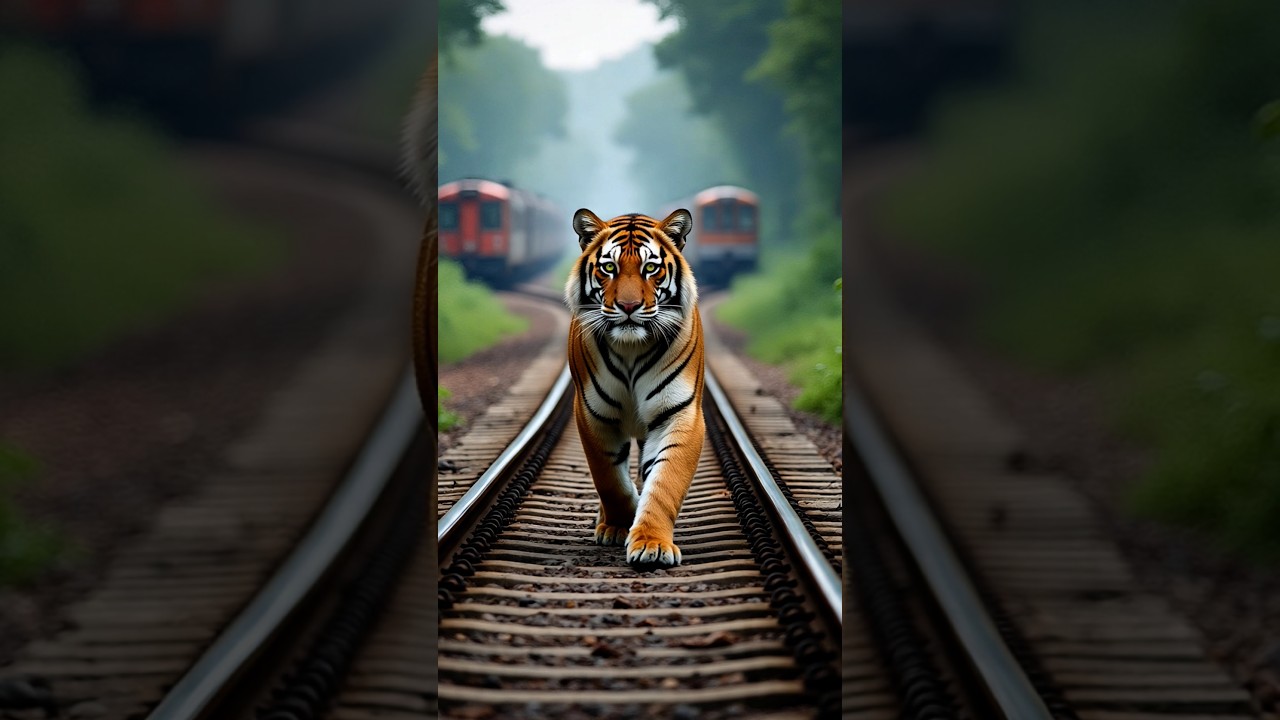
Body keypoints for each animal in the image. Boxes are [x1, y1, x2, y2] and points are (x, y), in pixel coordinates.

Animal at [564, 209, 706, 570]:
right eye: (609, 268)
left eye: (651, 268)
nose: (628, 306)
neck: (630, 348)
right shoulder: (592, 415)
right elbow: (609, 479)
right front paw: (618, 523)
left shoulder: (679, 415)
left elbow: (664, 481)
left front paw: (651, 543)